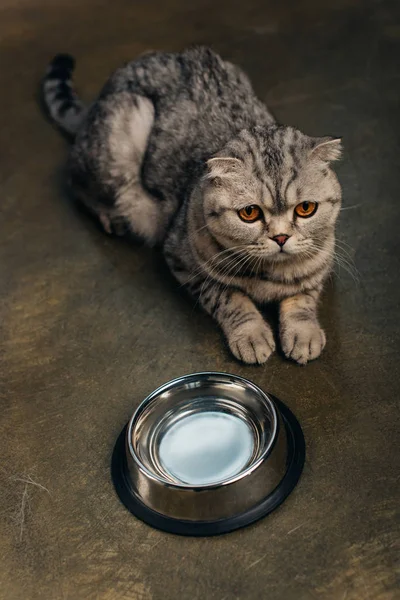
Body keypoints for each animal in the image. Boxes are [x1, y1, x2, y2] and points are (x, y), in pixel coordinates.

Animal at [42, 45, 342, 366]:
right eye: (249, 213)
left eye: (305, 208)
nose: (281, 237)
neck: (268, 274)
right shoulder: (184, 262)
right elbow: (230, 298)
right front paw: (251, 335)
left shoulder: (321, 263)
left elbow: (303, 297)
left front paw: (303, 333)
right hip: (119, 137)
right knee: (76, 180)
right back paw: (112, 216)